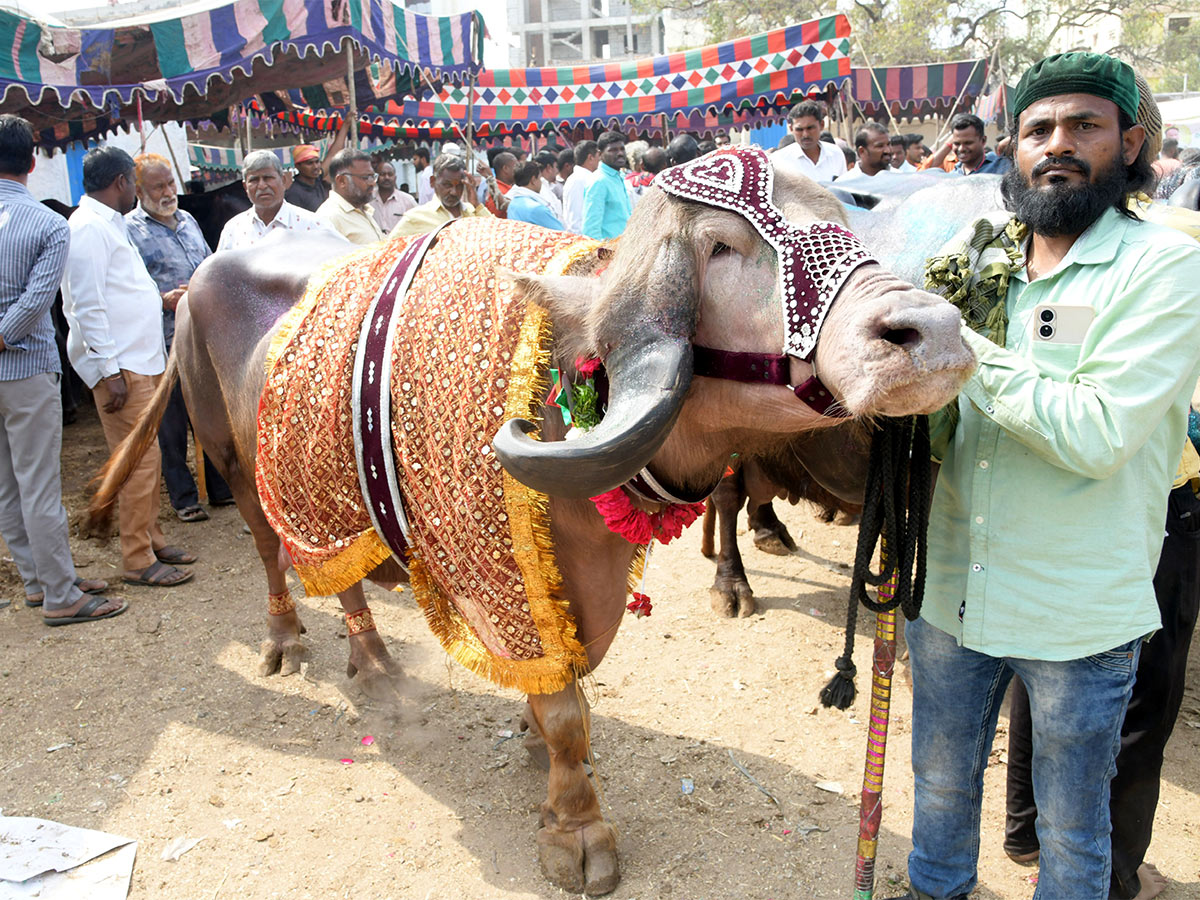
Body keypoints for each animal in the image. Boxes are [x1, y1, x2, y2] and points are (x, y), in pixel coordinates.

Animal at [93, 148, 974, 897]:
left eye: (844, 223)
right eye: (722, 248)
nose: (930, 332)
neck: (570, 384)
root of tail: (197, 284)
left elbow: (562, 685)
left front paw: (530, 745)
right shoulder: (500, 577)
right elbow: (567, 714)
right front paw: (576, 830)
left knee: (339, 573)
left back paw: (373, 659)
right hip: (229, 461)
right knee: (270, 554)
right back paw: (286, 641)